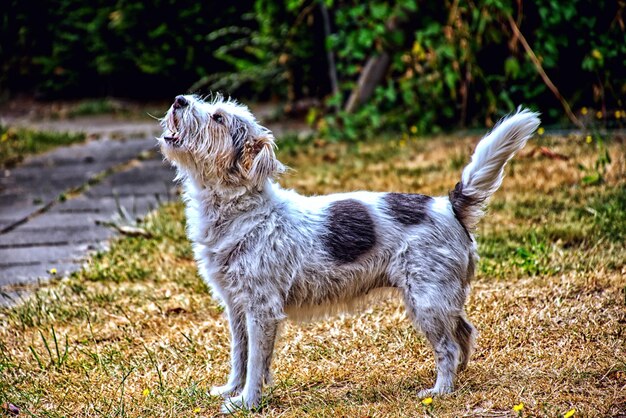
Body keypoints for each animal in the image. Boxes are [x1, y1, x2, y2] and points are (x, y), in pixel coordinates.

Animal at [158, 94, 540, 412]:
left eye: (218, 117)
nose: (178, 100)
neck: (245, 212)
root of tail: (449, 206)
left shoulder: (261, 309)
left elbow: (255, 363)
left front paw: (247, 403)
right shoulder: (237, 308)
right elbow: (241, 356)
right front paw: (230, 391)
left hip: (426, 301)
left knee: (448, 347)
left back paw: (440, 391)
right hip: (441, 299)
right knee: (464, 333)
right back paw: (458, 379)